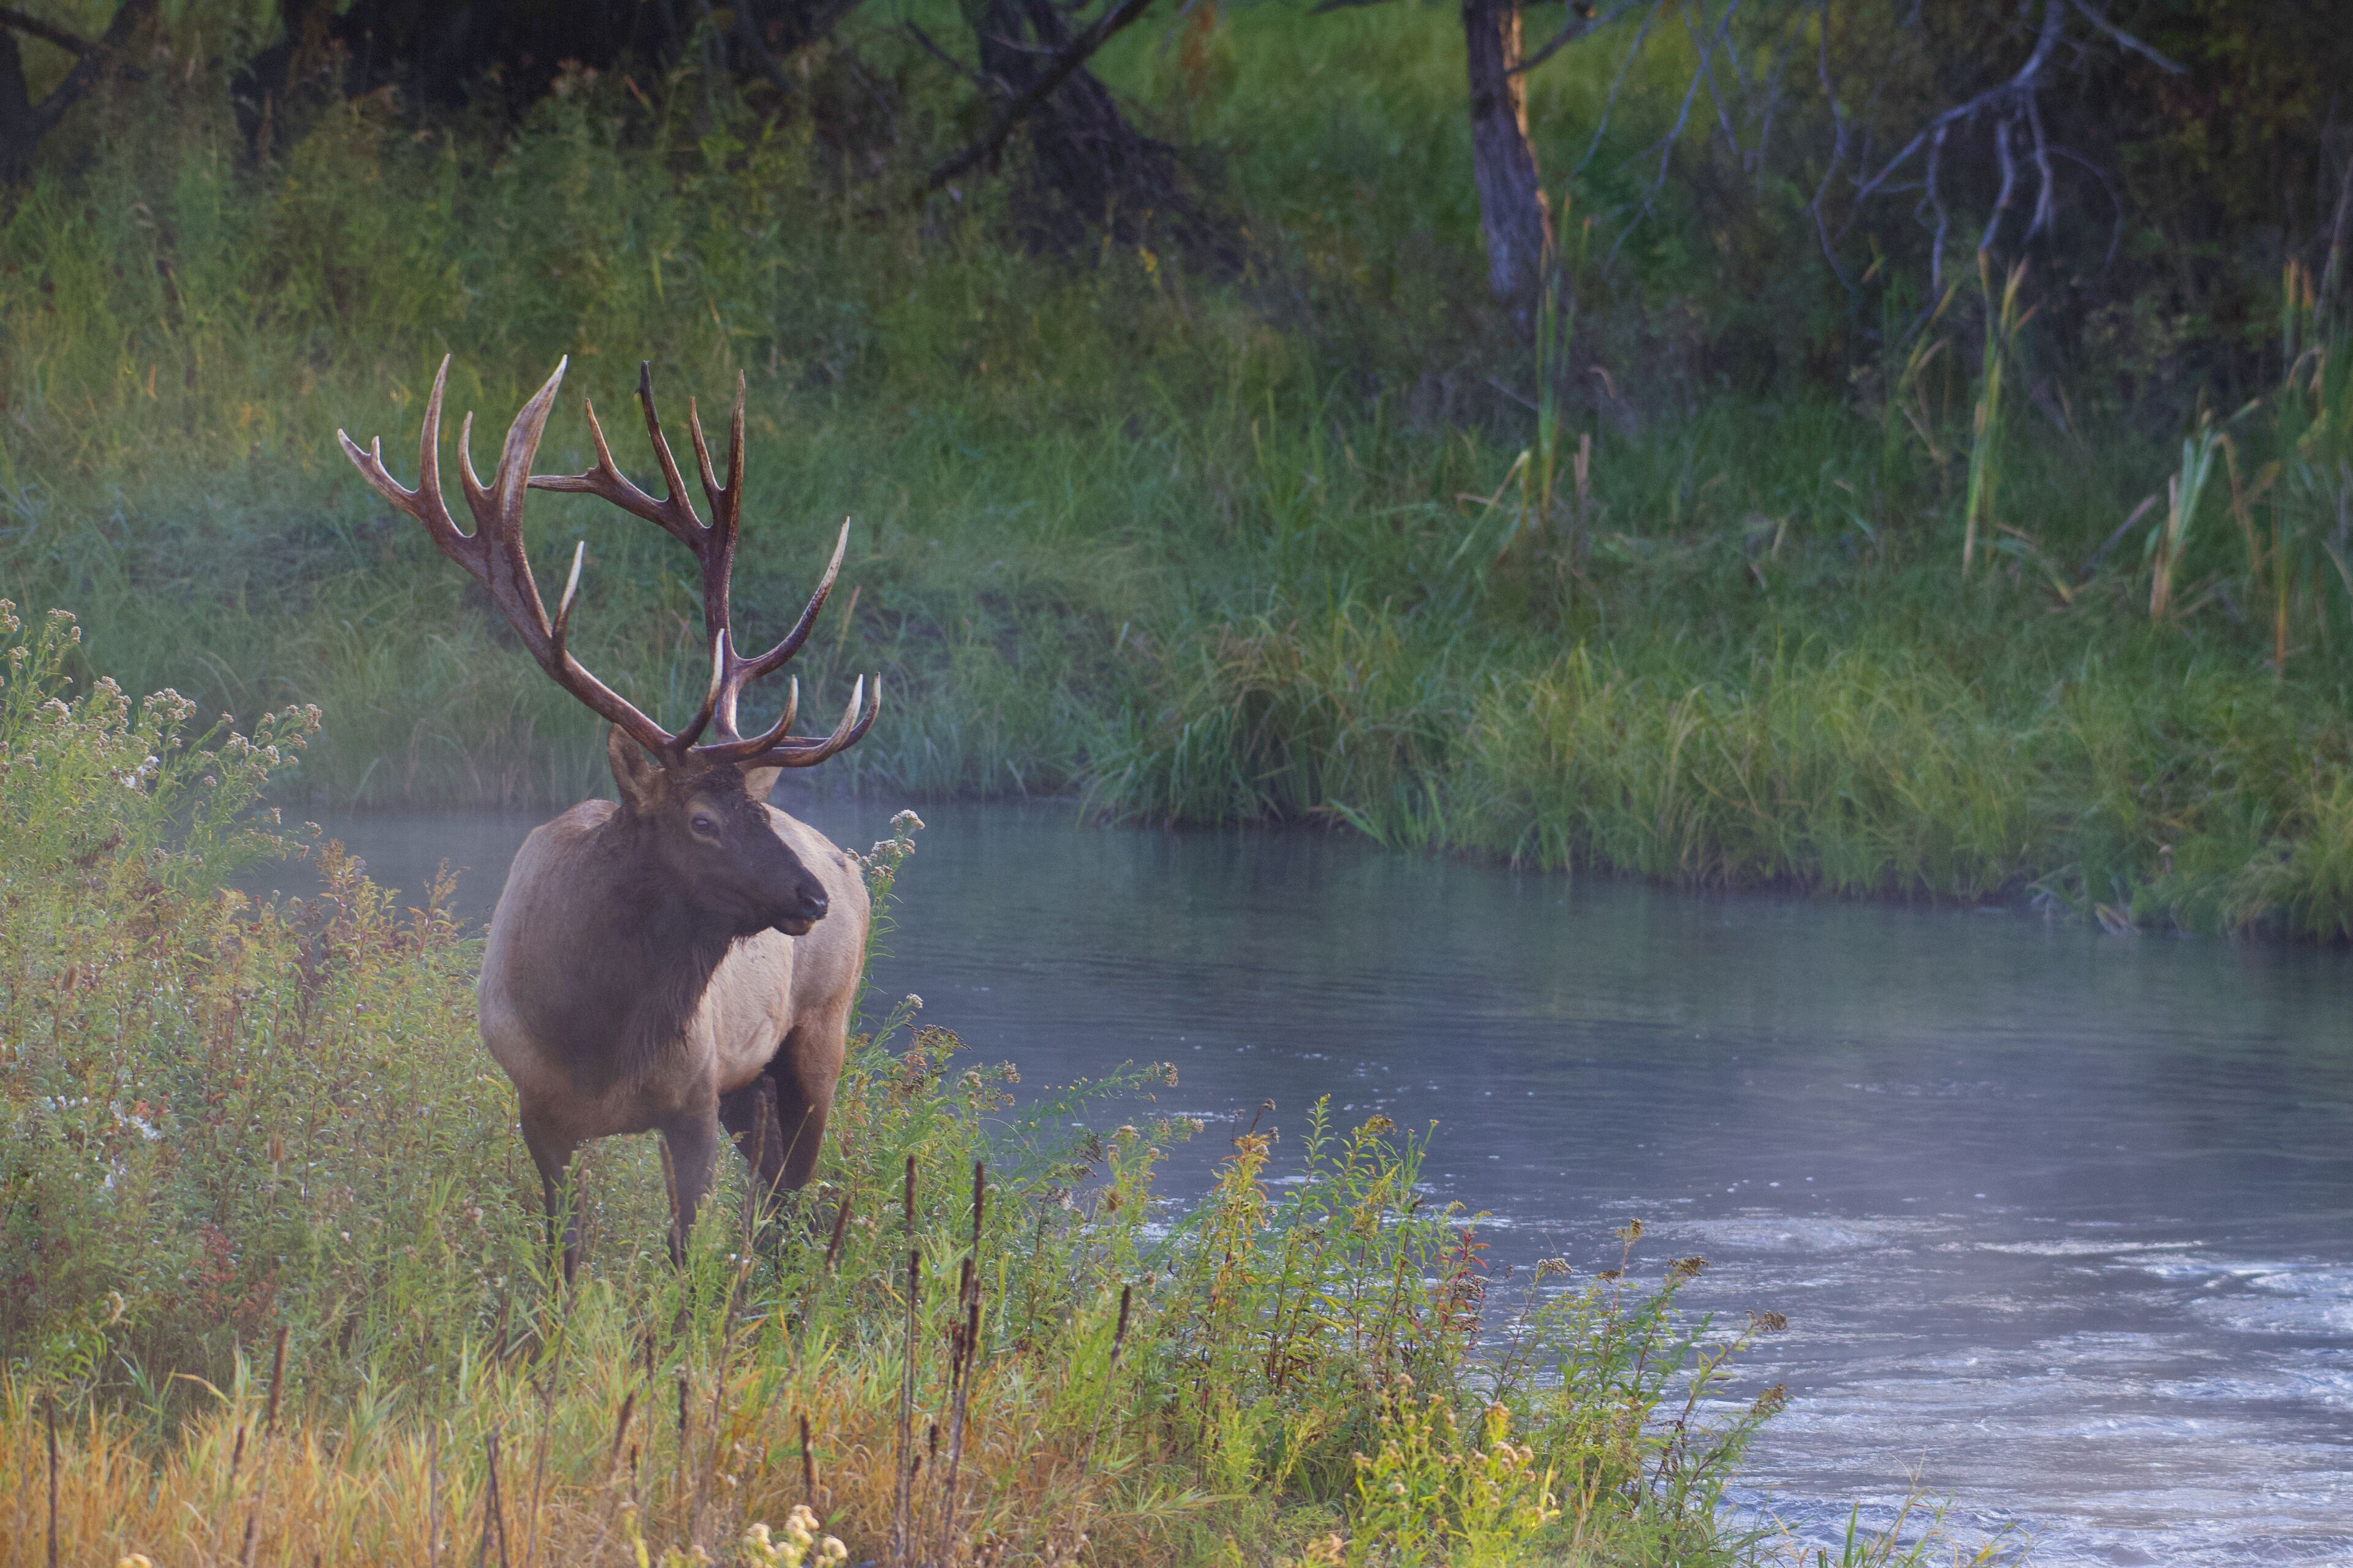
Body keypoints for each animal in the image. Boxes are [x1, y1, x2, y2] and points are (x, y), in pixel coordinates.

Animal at [339, 355, 879, 1278]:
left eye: (756, 811)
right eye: (701, 820)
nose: (811, 896)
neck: (599, 1033)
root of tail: (851, 865)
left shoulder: (692, 1100)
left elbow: (683, 1257)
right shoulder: (539, 1110)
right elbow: (565, 1252)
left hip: (817, 1038)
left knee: (792, 1198)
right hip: (751, 1089)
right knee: (771, 1193)